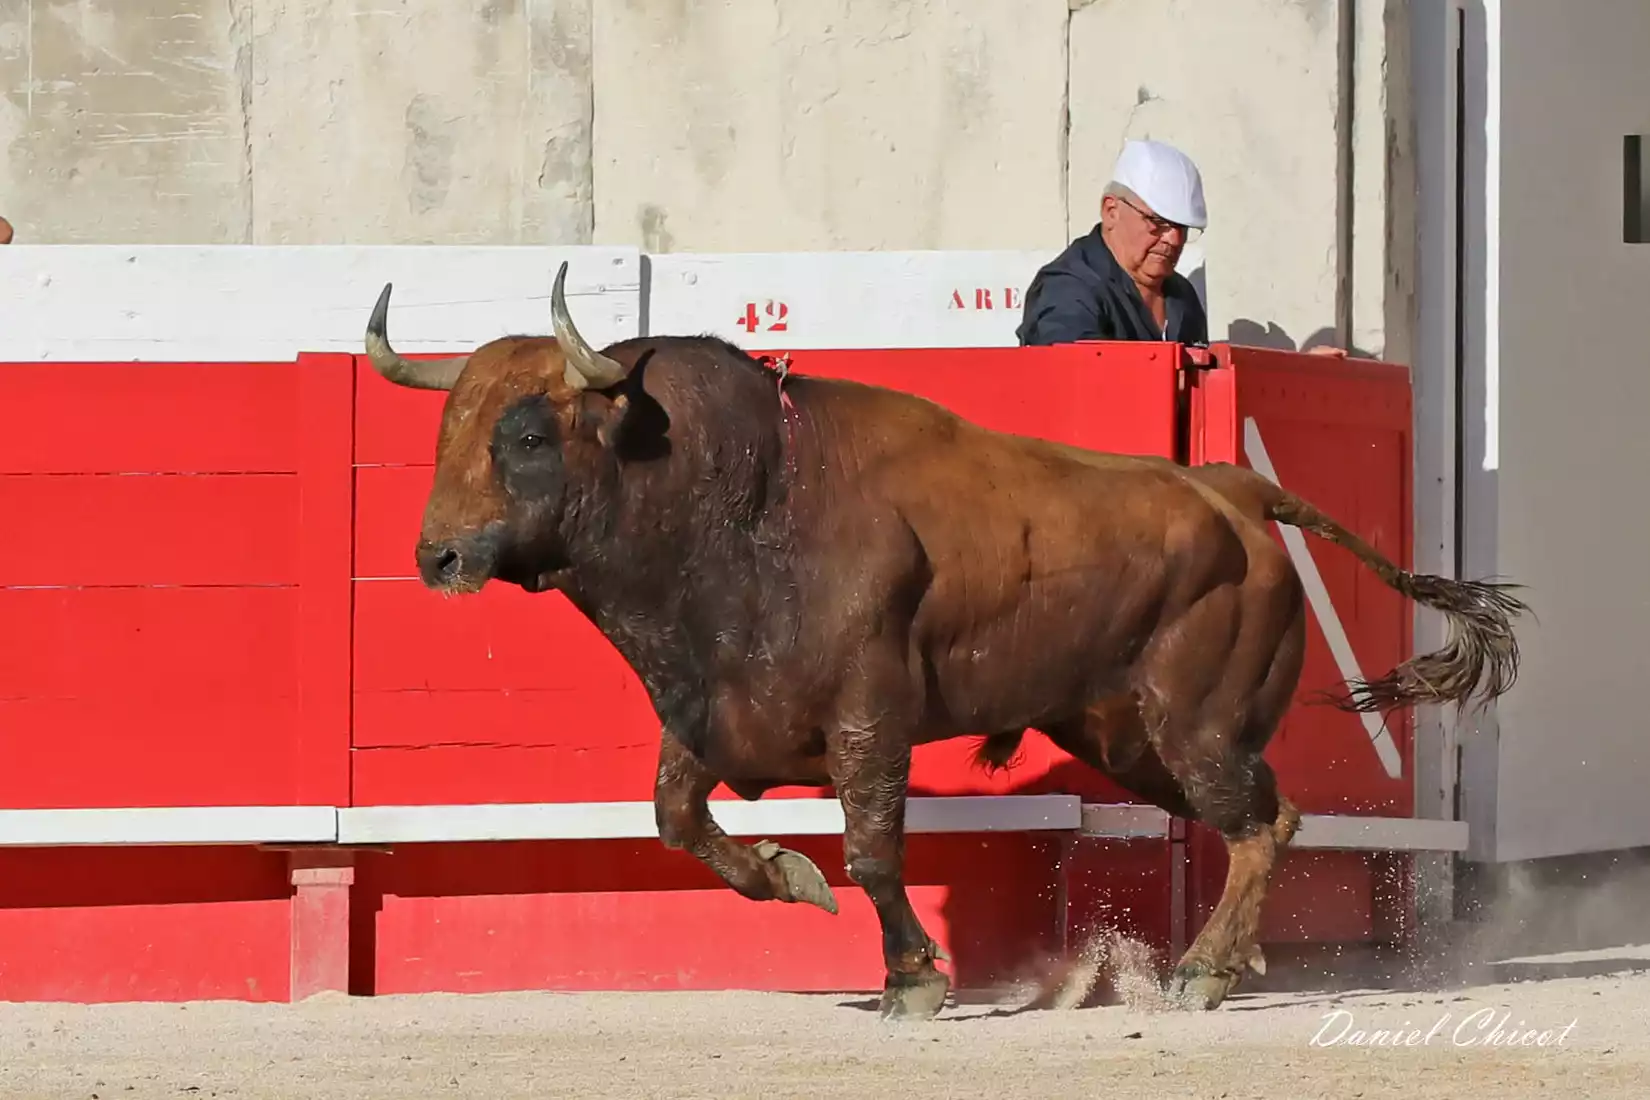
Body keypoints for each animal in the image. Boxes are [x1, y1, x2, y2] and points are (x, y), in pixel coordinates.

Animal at [358, 262, 1518, 1022]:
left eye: (525, 434)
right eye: (447, 432)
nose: (437, 555)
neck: (747, 504)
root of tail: (1235, 487)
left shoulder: (871, 716)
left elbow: (873, 846)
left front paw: (912, 977)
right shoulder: (709, 707)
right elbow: (677, 820)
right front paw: (789, 876)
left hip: (1194, 726)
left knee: (1259, 823)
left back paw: (1201, 972)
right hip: (1134, 740)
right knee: (1266, 819)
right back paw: (1226, 963)